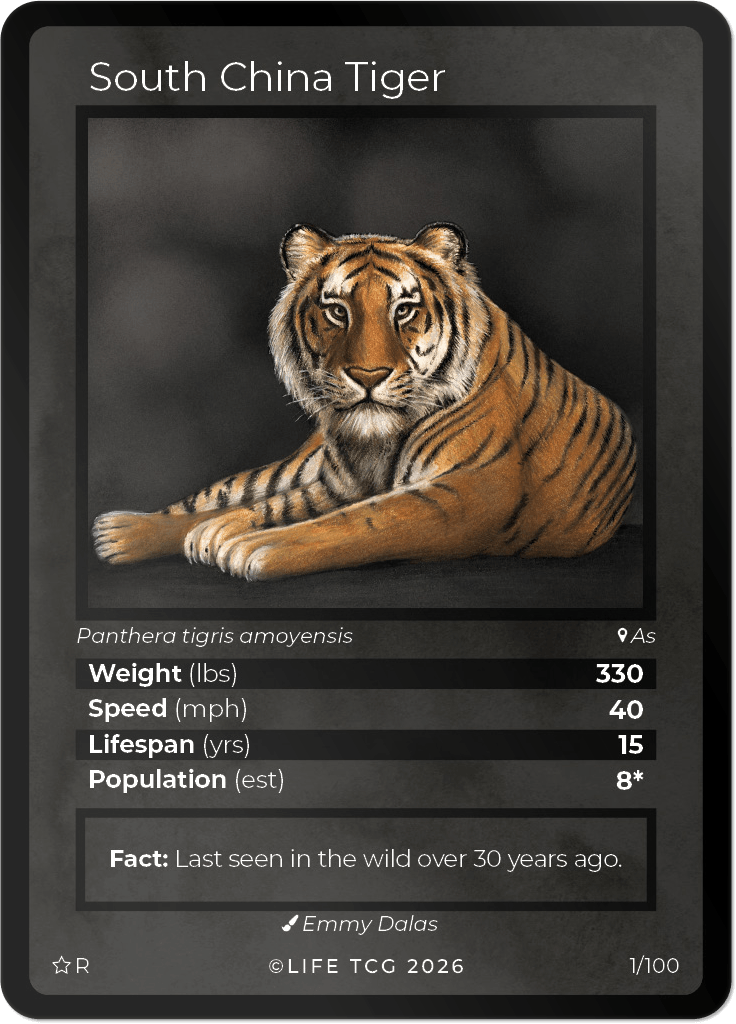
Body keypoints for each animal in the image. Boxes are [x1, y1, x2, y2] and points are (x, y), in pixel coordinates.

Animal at [93, 222, 637, 582]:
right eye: (337, 310)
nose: (368, 376)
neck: (375, 444)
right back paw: (117, 532)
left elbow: (358, 522)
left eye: (405, 309)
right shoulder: (338, 483)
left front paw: (247, 546)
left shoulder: (468, 493)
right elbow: (269, 507)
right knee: (222, 494)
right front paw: (219, 533)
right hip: (296, 465)